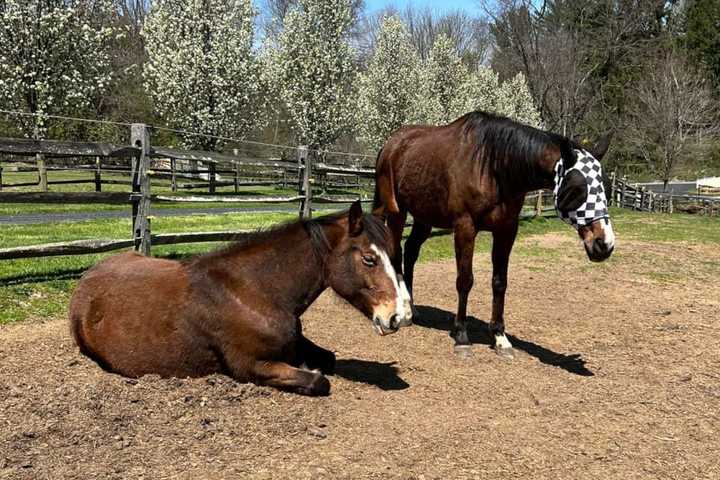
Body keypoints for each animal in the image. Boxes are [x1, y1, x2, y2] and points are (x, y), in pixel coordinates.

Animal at [69, 201, 408, 396]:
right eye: (369, 259)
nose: (399, 316)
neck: (253, 291)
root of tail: (86, 278)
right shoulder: (249, 366)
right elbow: (318, 380)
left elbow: (329, 358)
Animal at [374, 112, 616, 356]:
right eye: (576, 188)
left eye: (605, 186)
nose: (604, 244)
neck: (492, 168)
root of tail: (391, 144)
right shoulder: (465, 228)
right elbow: (465, 280)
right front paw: (461, 335)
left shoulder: (506, 230)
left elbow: (500, 282)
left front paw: (500, 337)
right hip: (396, 212)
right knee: (396, 253)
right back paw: (404, 313)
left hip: (424, 217)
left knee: (411, 251)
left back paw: (412, 307)